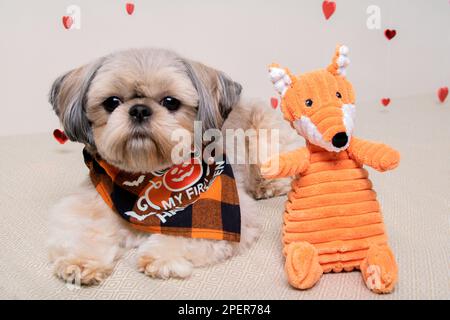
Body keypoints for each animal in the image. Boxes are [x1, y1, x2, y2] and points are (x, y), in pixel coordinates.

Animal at [48, 48, 296, 284]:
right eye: (111, 102)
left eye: (170, 102)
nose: (139, 110)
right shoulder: (86, 204)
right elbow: (84, 230)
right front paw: (80, 261)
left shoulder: (224, 216)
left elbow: (188, 232)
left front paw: (160, 257)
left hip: (264, 130)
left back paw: (266, 185)